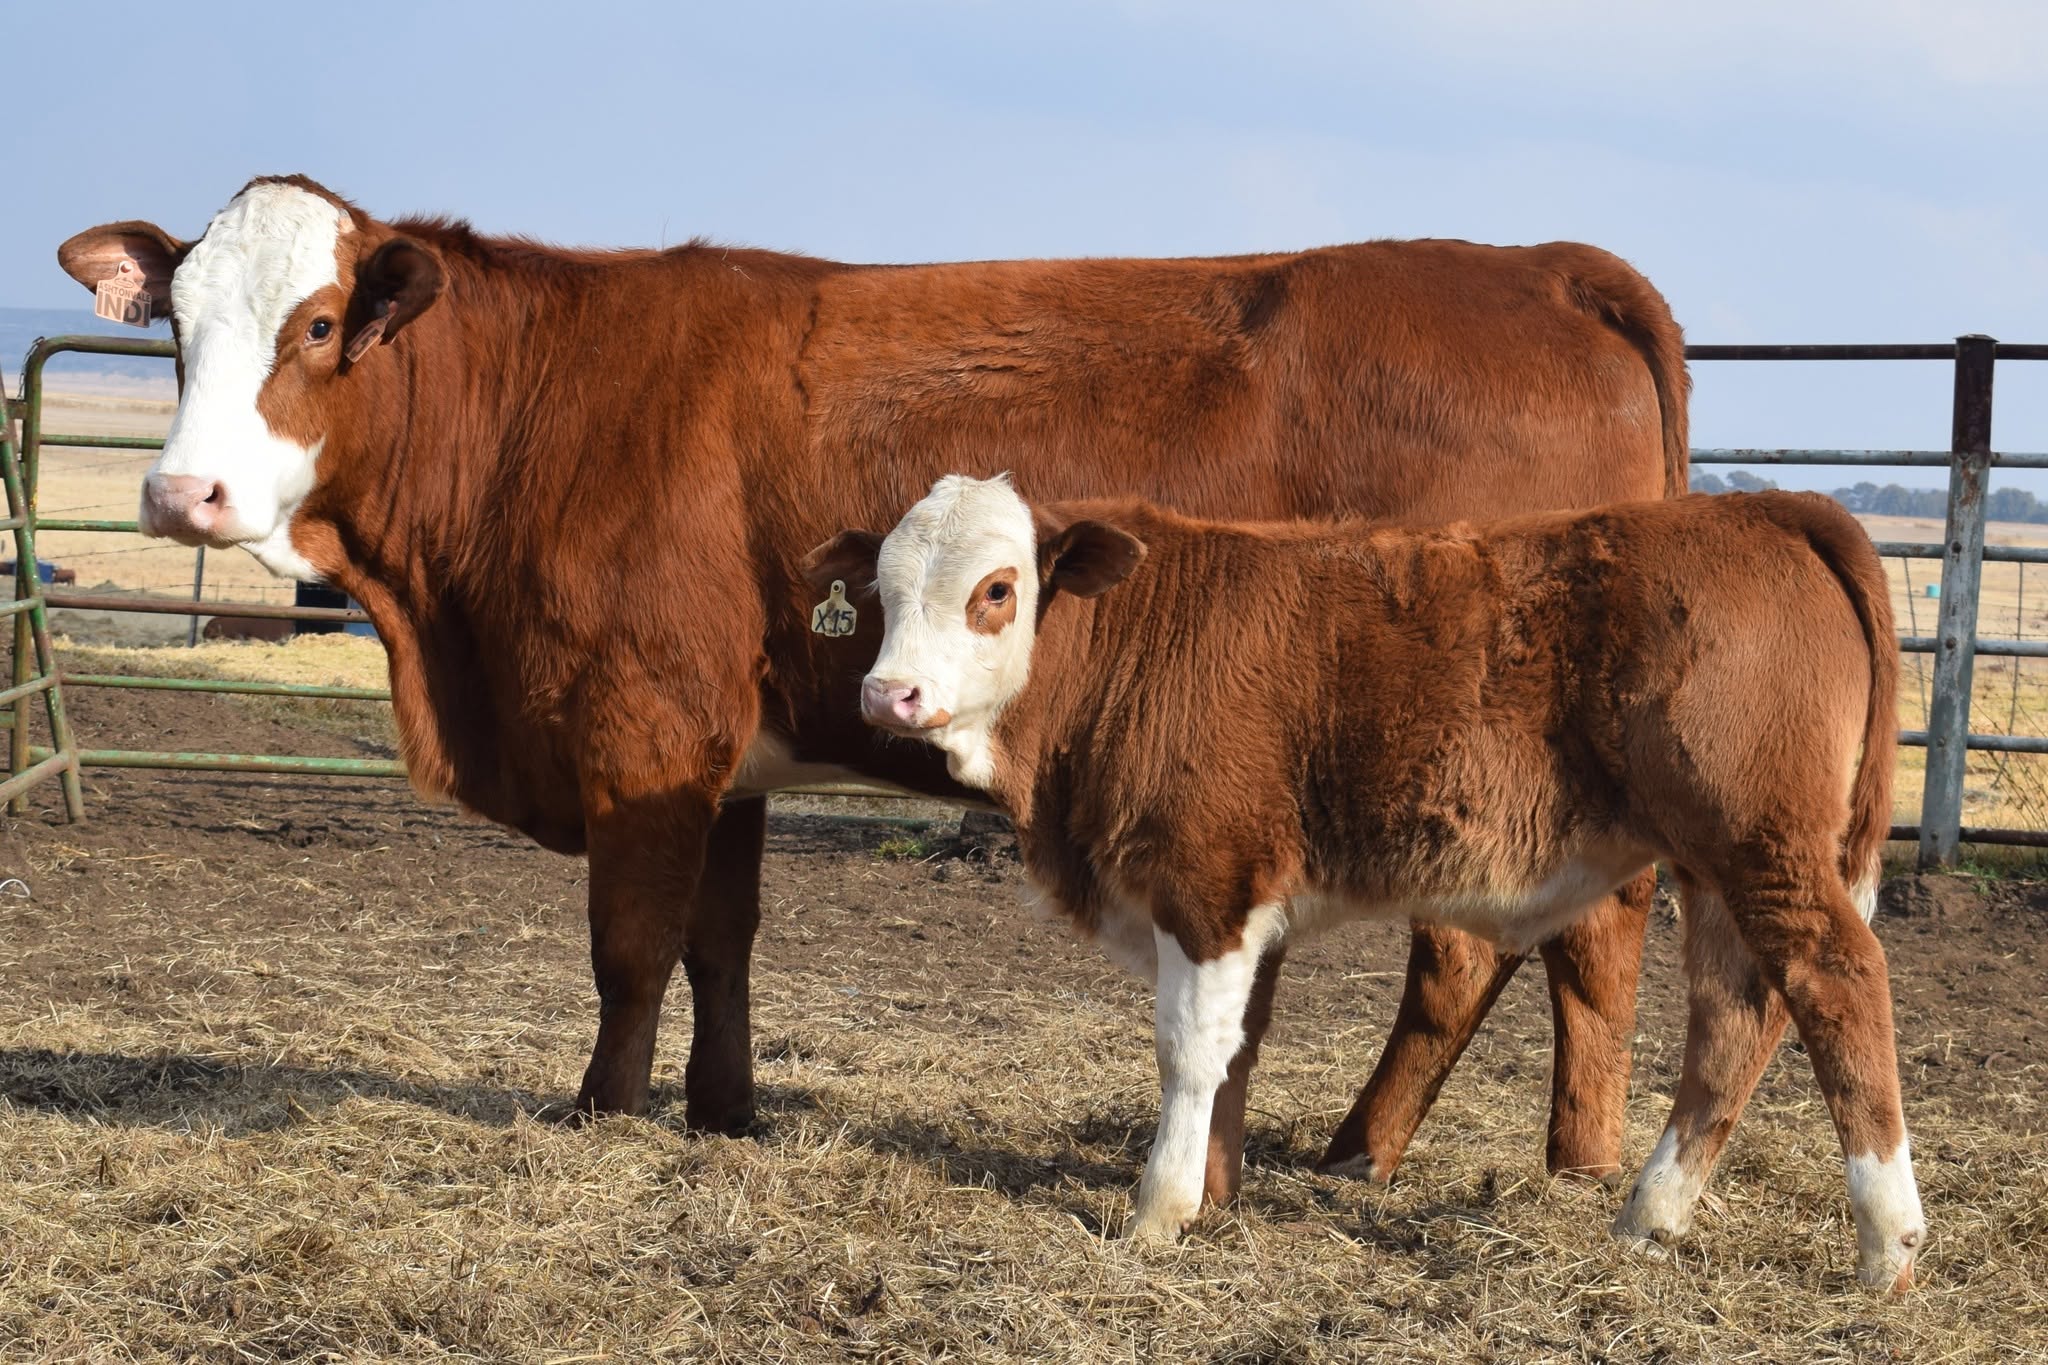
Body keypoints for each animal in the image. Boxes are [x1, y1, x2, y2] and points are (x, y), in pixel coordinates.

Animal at [57, 176, 1689, 1205]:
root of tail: (1539, 265)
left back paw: (1528, 1160)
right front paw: (720, 1113)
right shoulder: (718, 754)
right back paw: (1410, 1150)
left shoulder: (641, 725)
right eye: (174, 330)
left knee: (1548, 947)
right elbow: (718, 941)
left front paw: (602, 1114)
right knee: (1508, 953)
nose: (182, 494)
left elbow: (627, 948)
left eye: (318, 326)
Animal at [816, 475, 1918, 1291]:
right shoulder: (1247, 898)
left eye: (997, 589)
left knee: (1837, 981)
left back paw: (1887, 1244)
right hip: (1719, 866)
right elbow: (1237, 1046)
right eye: (879, 589)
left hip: (1760, 846)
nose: (888, 694)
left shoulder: (1205, 883)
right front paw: (1215, 1192)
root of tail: (1763, 508)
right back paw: (1650, 1217)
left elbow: (1188, 1048)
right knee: (1732, 1018)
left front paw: (1159, 1210)